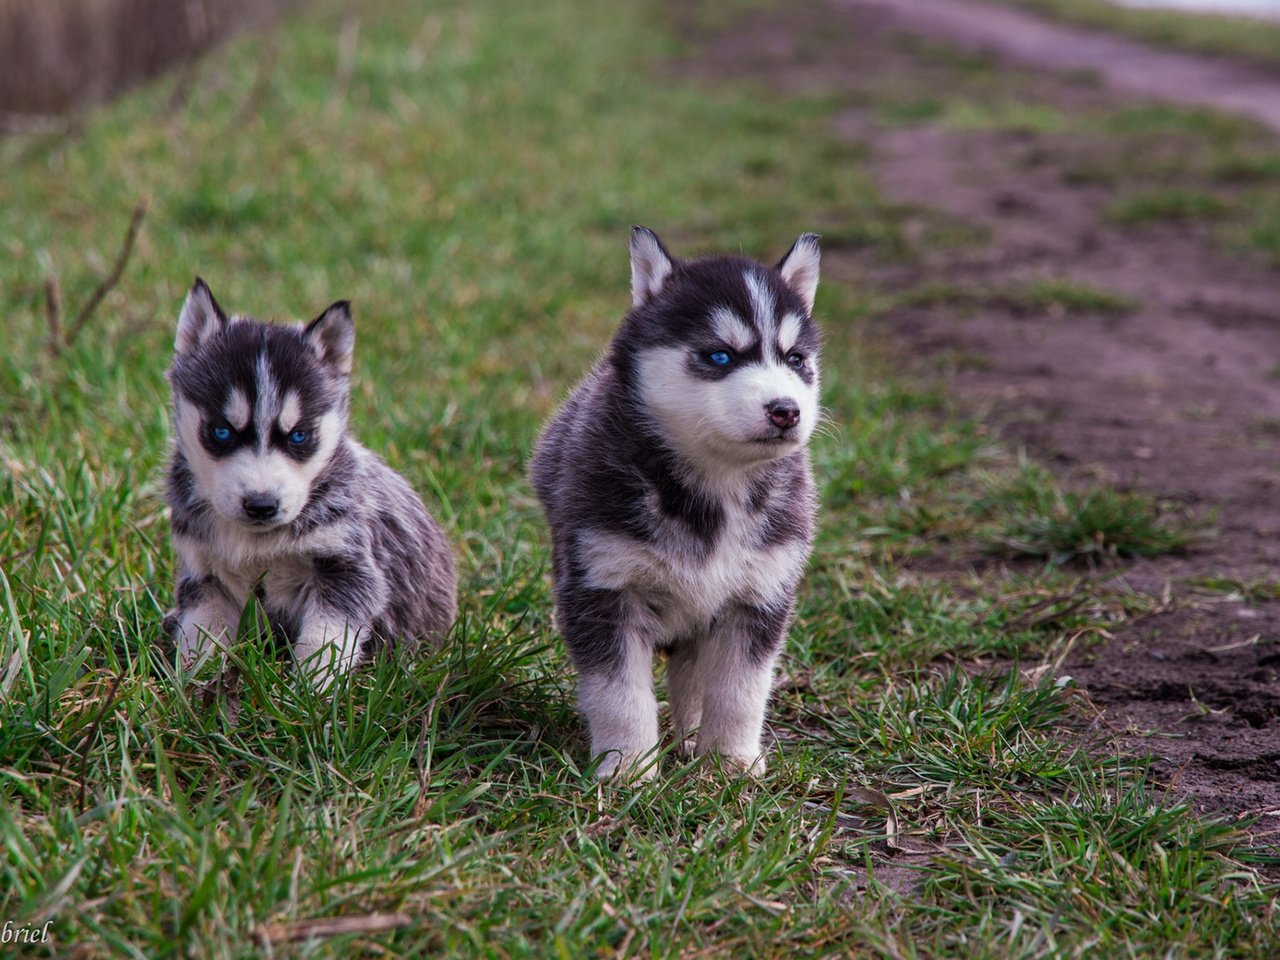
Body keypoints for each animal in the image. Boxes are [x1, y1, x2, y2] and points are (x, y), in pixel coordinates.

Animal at [162, 280, 458, 691]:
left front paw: (312, 690)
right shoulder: (206, 575)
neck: (257, 544)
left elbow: (326, 638)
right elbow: (201, 632)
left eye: (299, 435)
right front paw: (193, 683)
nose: (261, 505)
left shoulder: (346, 568)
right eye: (221, 431)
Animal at [527, 227, 819, 783]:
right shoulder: (603, 588)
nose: (786, 411)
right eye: (720, 356)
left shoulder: (761, 593)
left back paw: (692, 743)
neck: (716, 485)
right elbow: (620, 693)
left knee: (693, 680)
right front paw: (627, 770)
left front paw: (731, 764)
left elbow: (741, 690)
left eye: (795, 360)